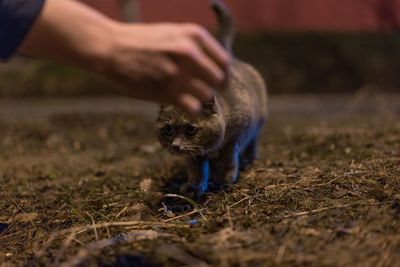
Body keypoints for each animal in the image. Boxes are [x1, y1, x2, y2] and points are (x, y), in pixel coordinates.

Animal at [155, 0, 266, 197]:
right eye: (168, 129)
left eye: (191, 129)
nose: (176, 146)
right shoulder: (193, 155)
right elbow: (196, 170)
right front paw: (194, 187)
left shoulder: (235, 137)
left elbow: (228, 157)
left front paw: (224, 179)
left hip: (258, 123)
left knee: (253, 141)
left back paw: (248, 159)